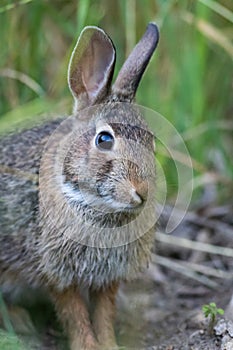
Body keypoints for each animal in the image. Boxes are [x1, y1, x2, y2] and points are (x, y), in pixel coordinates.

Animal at [0, 22, 158, 350]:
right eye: (104, 139)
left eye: (151, 141)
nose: (142, 192)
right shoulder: (58, 272)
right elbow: (74, 314)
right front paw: (88, 346)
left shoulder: (107, 277)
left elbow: (103, 313)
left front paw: (110, 345)